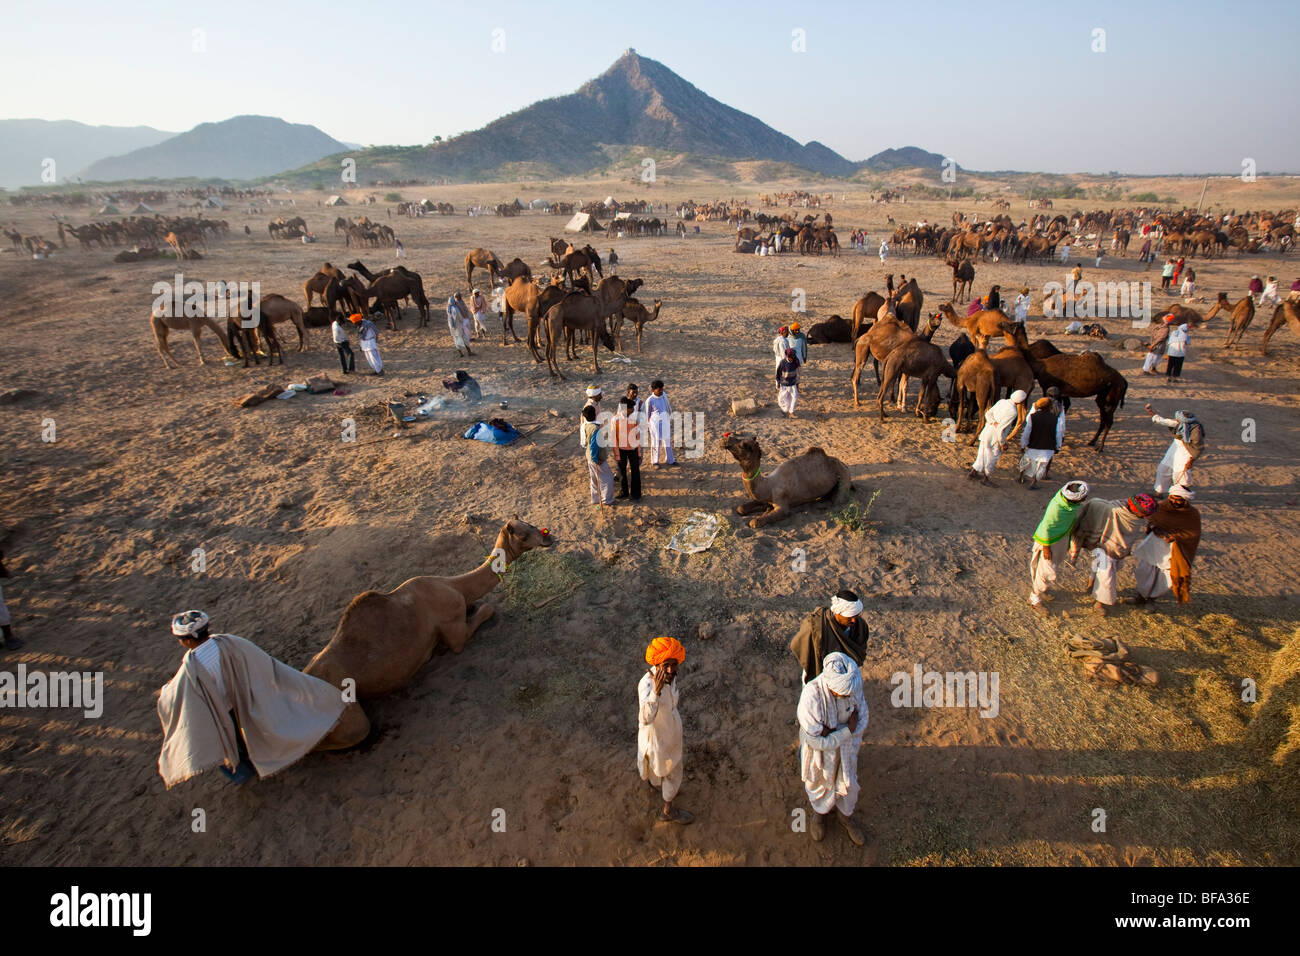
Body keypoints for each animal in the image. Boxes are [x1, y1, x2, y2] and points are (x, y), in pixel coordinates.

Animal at [306, 520, 556, 749]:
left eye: (532, 524)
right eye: (523, 535)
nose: (548, 537)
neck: (454, 586)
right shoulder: (455, 629)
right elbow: (486, 610)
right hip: (346, 716)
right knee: (353, 732)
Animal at [722, 434, 852, 530]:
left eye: (743, 445)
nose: (725, 439)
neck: (768, 486)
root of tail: (844, 464)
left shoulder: (782, 504)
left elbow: (754, 522)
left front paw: (761, 516)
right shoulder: (765, 498)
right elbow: (740, 508)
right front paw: (765, 509)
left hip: (844, 478)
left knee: (837, 500)